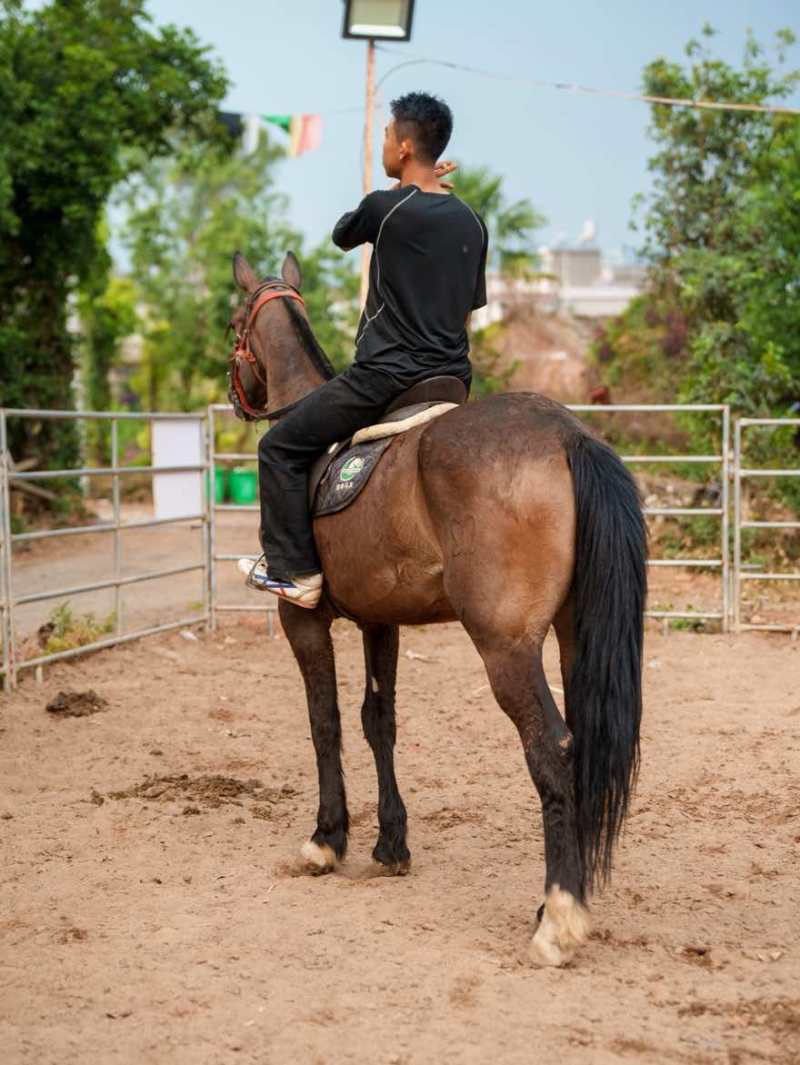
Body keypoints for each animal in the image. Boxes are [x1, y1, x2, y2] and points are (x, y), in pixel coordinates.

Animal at [227, 250, 647, 967]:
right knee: (583, 742)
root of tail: (567, 435)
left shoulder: (302, 620)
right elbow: (378, 722)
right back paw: (558, 902)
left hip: (507, 647)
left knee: (553, 749)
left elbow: (324, 722)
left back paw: (559, 919)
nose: (235, 393)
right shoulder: (380, 621)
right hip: (574, 635)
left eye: (233, 323)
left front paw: (326, 839)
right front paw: (391, 843)